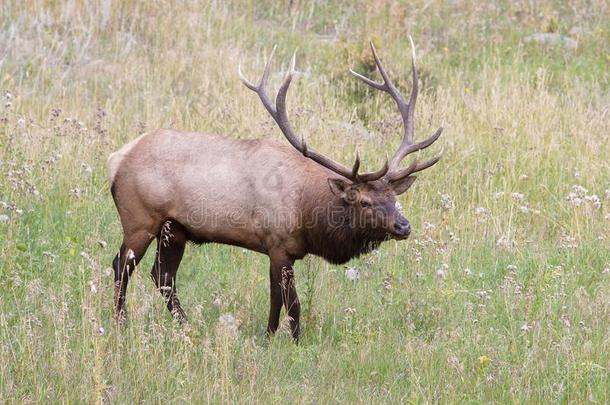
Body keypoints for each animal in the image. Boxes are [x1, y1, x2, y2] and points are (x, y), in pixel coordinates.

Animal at [108, 38, 442, 340]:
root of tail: (117, 159)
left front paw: (268, 336)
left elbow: (274, 299)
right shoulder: (278, 243)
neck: (306, 210)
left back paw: (186, 325)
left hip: (175, 228)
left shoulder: (280, 250)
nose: (403, 226)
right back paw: (121, 324)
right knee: (121, 265)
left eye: (394, 197)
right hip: (140, 219)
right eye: (363, 201)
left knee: (162, 275)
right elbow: (292, 304)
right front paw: (294, 342)